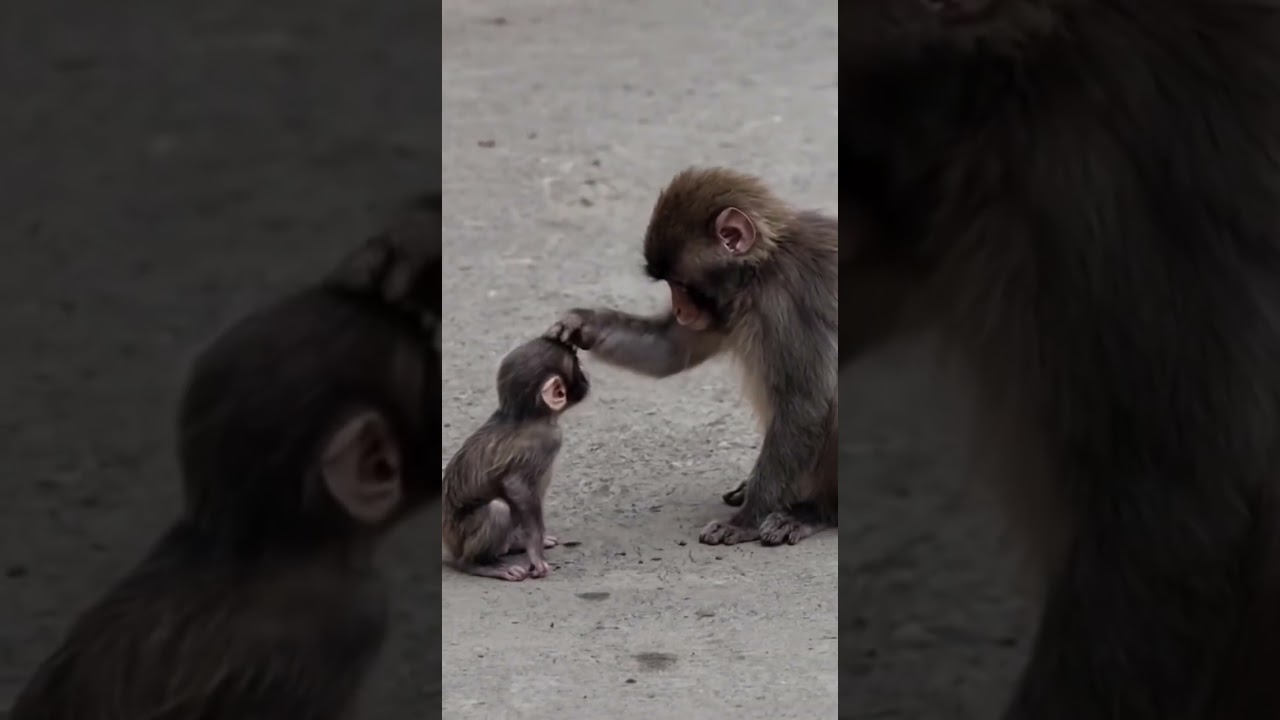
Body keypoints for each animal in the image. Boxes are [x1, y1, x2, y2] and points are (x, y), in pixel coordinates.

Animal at [441, 336, 590, 581]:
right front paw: (535, 553)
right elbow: (515, 485)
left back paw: (513, 543)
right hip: (459, 537)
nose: (586, 377)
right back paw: (478, 564)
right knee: (498, 509)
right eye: (577, 366)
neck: (527, 416)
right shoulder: (547, 440)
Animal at [547, 167, 837, 548]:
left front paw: (746, 520)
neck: (760, 269)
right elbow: (669, 349)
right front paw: (583, 324)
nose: (680, 309)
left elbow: (804, 404)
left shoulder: (785, 304)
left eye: (682, 284)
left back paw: (817, 510)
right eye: (670, 285)